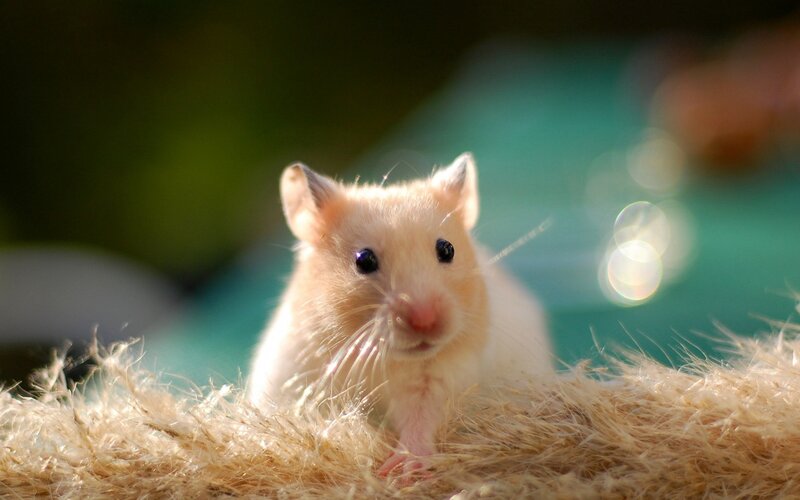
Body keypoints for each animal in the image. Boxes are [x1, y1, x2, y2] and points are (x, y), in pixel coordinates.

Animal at [247, 153, 552, 475]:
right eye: (364, 260)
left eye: (447, 249)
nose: (425, 321)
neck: (383, 359)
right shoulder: (298, 377)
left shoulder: (443, 377)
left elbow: (422, 417)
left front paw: (402, 470)